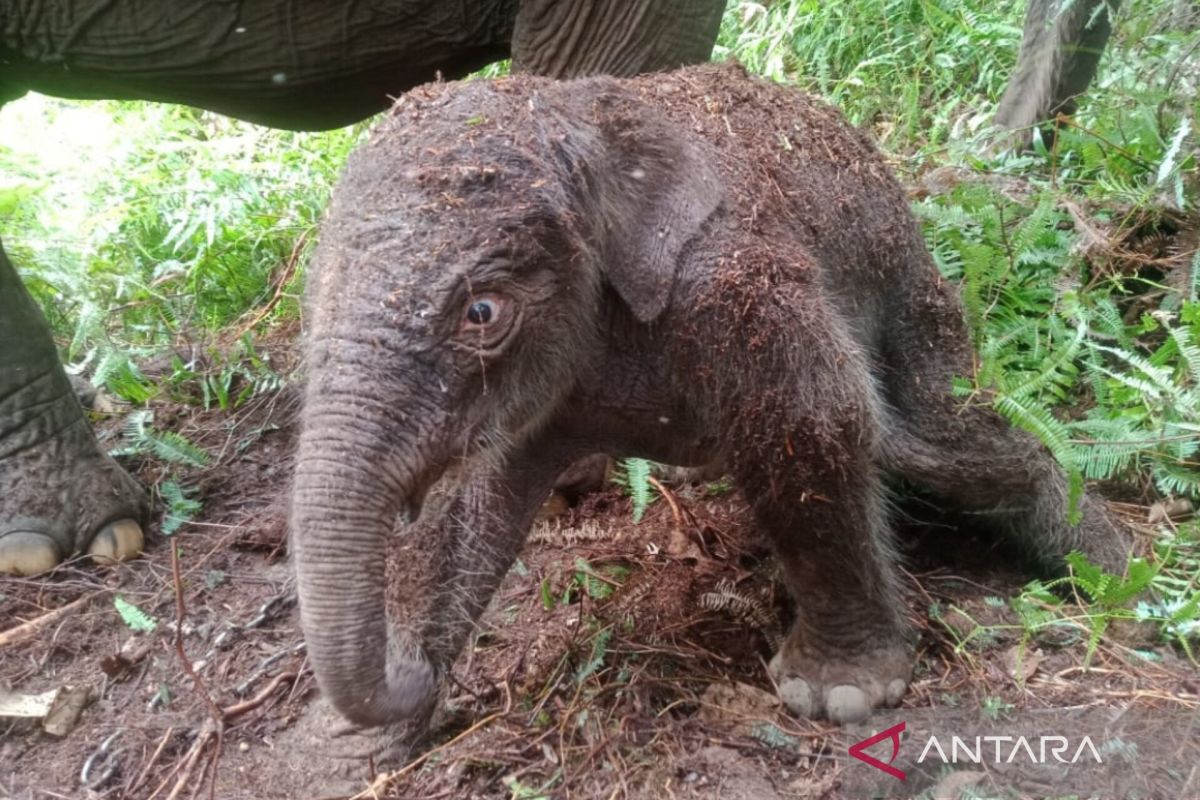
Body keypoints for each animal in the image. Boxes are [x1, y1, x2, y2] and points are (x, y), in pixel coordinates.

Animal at [289, 63, 1133, 742]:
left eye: (483, 312)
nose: (410, 669)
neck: (576, 111)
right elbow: (484, 500)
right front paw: (355, 742)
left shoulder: (741, 286)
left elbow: (815, 420)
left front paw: (841, 695)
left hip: (912, 290)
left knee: (945, 442)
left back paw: (1112, 571)